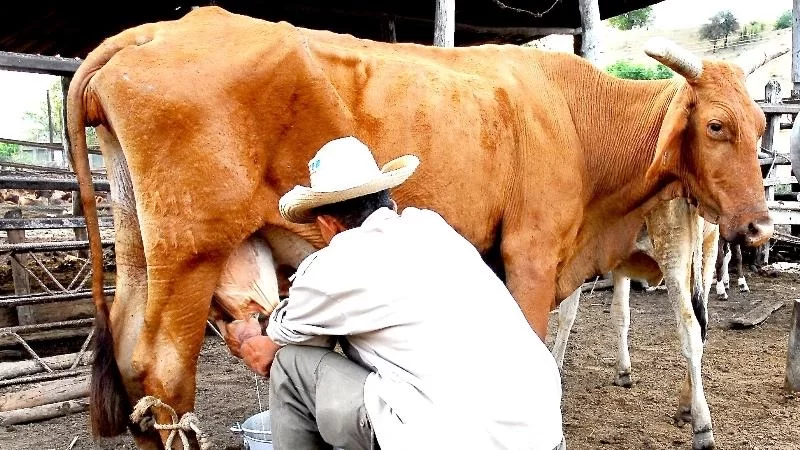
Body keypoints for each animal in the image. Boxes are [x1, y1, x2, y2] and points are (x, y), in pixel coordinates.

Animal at [65, 7, 772, 450]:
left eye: (762, 125)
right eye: (716, 126)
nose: (762, 226)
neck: (575, 118)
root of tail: (159, 30)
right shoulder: (532, 255)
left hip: (140, 251)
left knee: (131, 363)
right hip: (190, 255)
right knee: (161, 374)